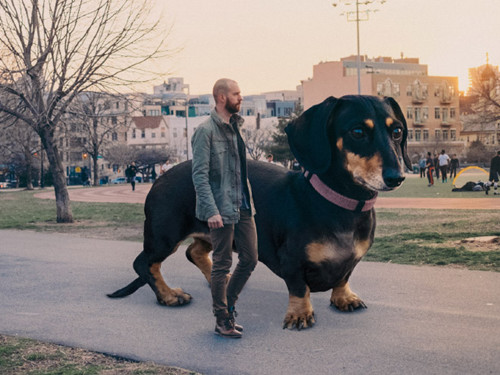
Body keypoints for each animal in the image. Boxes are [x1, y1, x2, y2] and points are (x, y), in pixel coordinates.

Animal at [108, 95, 410, 330]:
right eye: (357, 132)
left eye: (397, 132)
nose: (397, 177)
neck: (341, 205)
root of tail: (158, 177)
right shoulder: (291, 260)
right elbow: (298, 287)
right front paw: (300, 314)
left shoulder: (352, 259)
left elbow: (345, 275)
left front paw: (344, 297)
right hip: (165, 235)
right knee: (145, 263)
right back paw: (169, 295)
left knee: (194, 252)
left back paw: (220, 281)